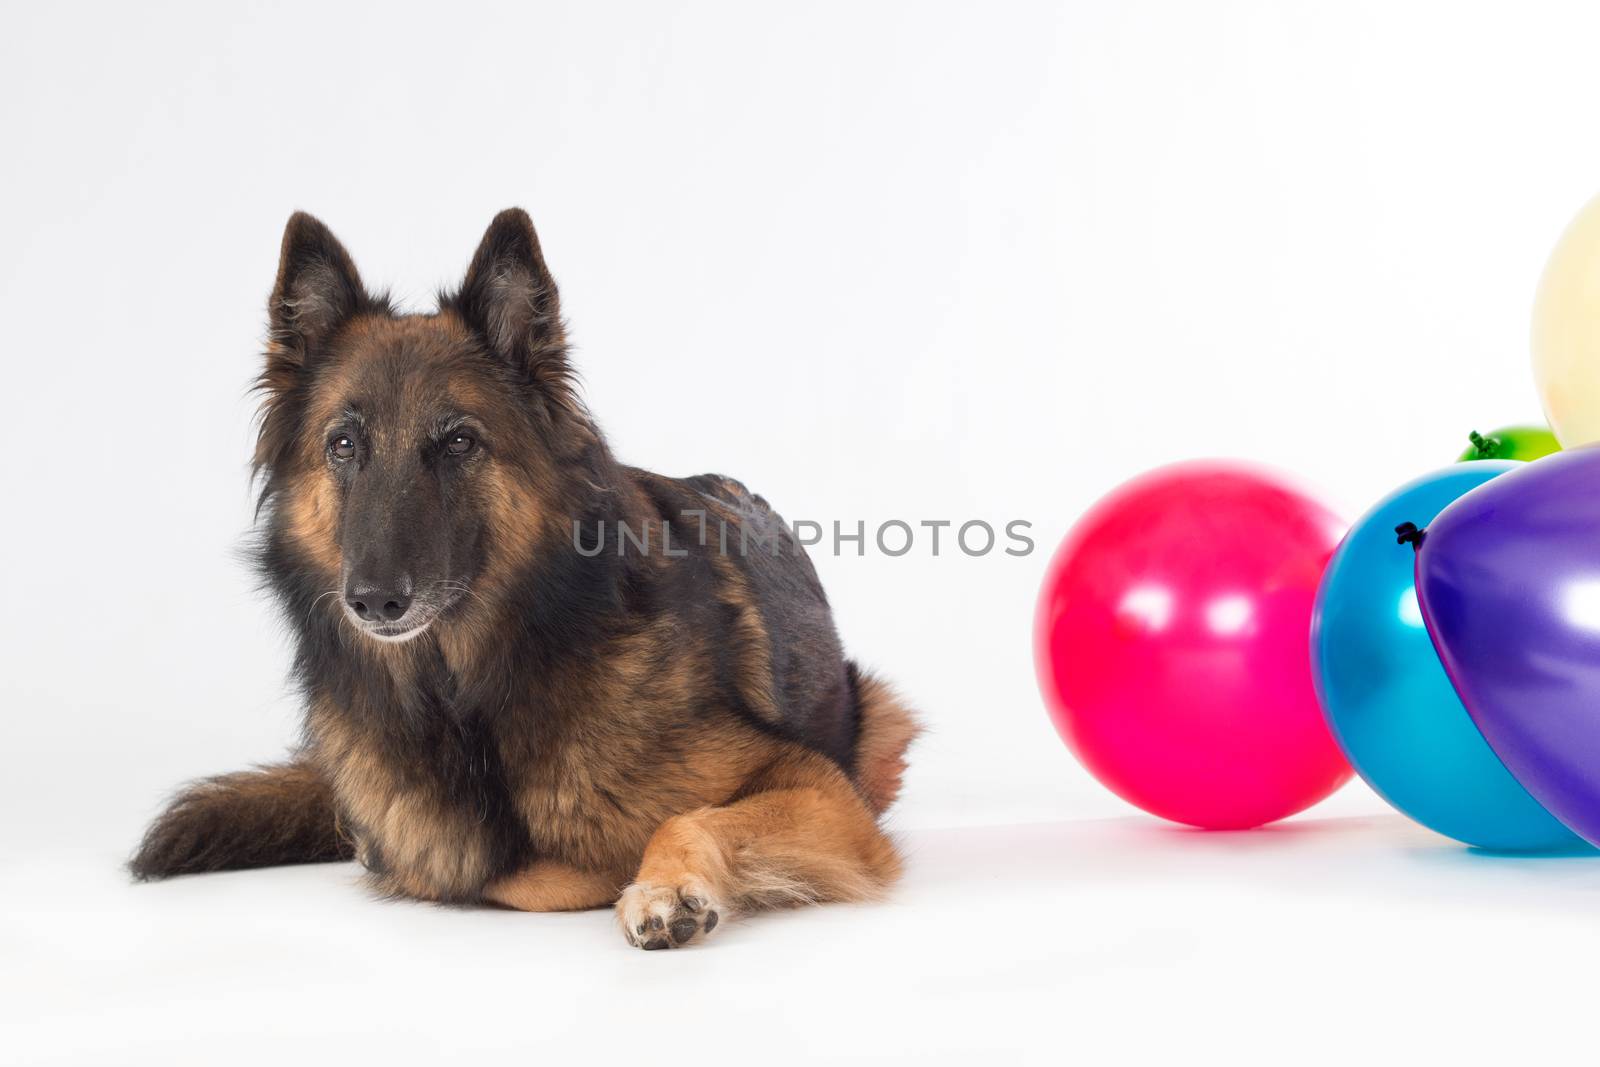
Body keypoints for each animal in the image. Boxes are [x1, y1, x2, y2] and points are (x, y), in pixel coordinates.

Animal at [131, 207, 921, 953]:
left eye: (459, 441)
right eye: (344, 444)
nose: (375, 600)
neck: (466, 698)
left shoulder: (816, 786)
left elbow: (678, 820)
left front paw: (662, 889)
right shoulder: (412, 853)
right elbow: (508, 872)